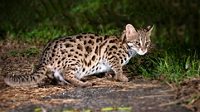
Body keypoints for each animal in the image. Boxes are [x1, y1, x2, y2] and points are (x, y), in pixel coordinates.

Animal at [3, 24, 154, 87]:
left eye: (147, 42)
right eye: (137, 42)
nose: (144, 50)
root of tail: (46, 55)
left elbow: (110, 70)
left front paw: (109, 76)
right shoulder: (110, 55)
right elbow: (118, 67)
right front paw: (121, 77)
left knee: (61, 77)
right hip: (76, 59)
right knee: (67, 74)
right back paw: (83, 83)